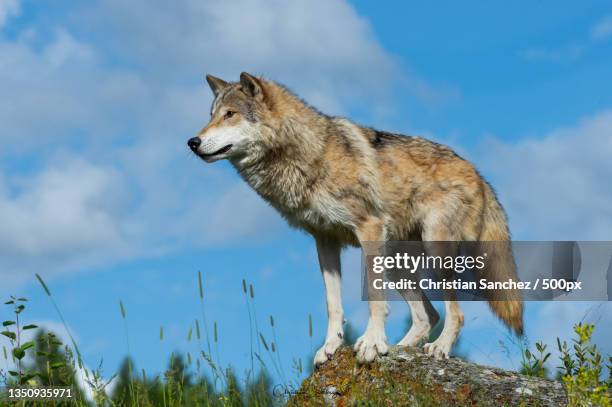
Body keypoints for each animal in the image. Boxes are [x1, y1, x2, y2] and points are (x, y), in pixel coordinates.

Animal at [189, 73, 524, 366]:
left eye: (230, 114)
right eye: (211, 115)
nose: (192, 142)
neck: (308, 155)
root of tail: (479, 174)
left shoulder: (369, 229)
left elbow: (375, 298)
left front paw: (372, 344)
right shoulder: (324, 241)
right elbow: (333, 304)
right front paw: (330, 347)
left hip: (433, 250)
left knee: (454, 314)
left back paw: (438, 349)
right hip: (397, 262)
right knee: (428, 315)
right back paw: (400, 349)